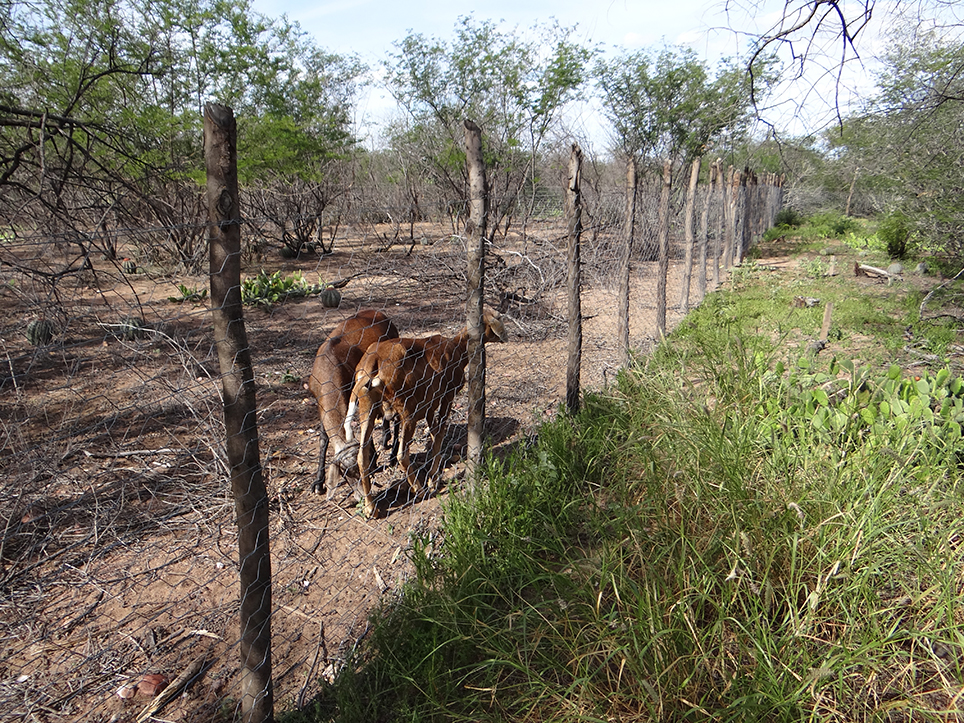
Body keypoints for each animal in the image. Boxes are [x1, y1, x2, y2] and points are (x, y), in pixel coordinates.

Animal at [308, 308, 400, 500]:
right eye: (345, 472)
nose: (362, 496)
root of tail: (379, 313)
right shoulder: (320, 403)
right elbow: (323, 439)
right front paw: (318, 482)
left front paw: (373, 459)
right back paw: (385, 437)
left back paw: (393, 456)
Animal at [344, 308, 508, 516]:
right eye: (497, 317)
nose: (505, 336)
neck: (456, 347)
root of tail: (372, 360)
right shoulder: (447, 396)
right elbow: (440, 433)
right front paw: (433, 480)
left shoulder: (430, 404)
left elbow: (433, 433)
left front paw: (433, 472)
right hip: (407, 412)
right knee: (401, 454)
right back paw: (419, 489)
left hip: (368, 410)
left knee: (362, 456)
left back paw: (370, 507)